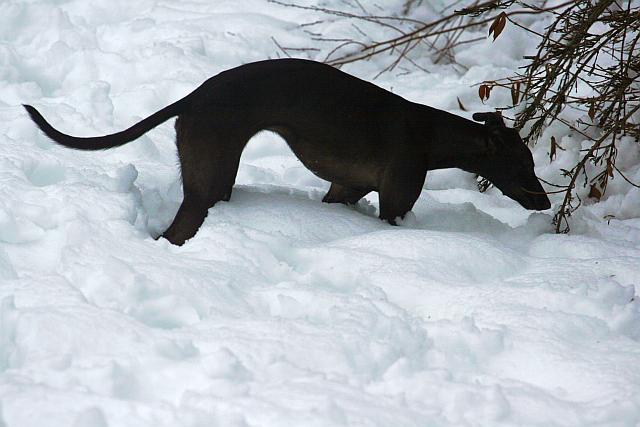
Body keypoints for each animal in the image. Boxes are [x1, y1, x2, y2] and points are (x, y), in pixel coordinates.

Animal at [24, 58, 551, 245]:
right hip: (211, 183)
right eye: (523, 164)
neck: (430, 133)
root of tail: (193, 97)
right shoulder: (395, 202)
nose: (545, 203)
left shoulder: (344, 189)